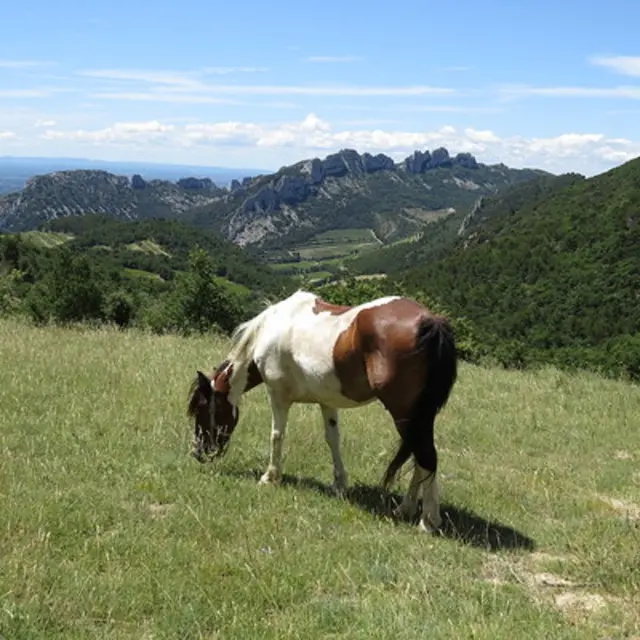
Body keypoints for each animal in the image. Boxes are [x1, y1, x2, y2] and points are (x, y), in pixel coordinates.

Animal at [186, 289, 457, 533]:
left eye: (201, 409)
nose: (198, 452)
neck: (272, 328)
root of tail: (430, 321)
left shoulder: (278, 396)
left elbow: (277, 436)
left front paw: (270, 477)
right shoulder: (327, 402)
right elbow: (333, 439)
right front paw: (339, 484)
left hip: (405, 413)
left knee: (426, 455)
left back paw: (427, 521)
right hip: (420, 416)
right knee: (420, 456)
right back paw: (406, 509)